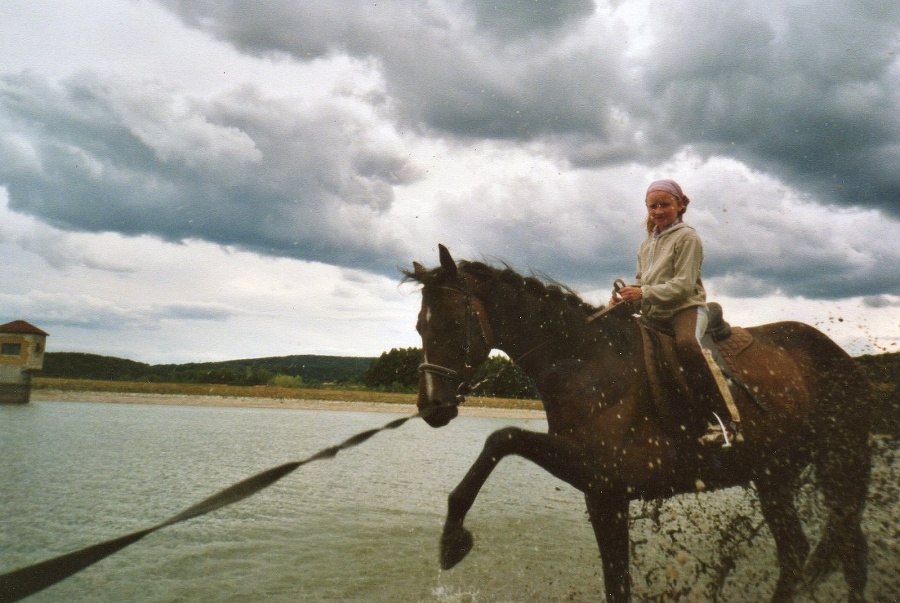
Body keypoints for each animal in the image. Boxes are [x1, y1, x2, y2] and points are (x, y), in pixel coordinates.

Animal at [408, 245, 872, 603]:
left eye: (452, 322)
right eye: (418, 326)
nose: (431, 406)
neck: (587, 362)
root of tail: (840, 357)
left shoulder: (599, 475)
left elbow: (502, 437)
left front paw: (453, 540)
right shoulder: (600, 491)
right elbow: (617, 583)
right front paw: (453, 535)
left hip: (826, 467)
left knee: (821, 550)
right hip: (777, 475)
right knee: (832, 550)